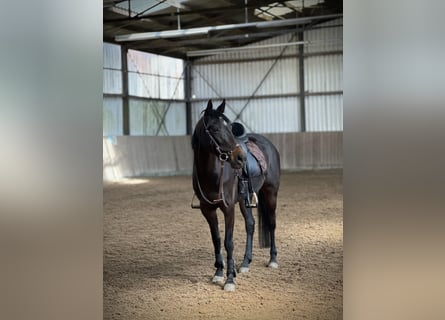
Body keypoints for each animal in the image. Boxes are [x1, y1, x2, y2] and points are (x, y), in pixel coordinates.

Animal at [191, 99, 280, 290]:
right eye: (214, 128)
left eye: (230, 128)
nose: (240, 158)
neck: (213, 174)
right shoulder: (207, 210)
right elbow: (216, 239)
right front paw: (218, 273)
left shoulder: (228, 209)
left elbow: (228, 242)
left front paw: (230, 279)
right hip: (244, 200)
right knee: (250, 224)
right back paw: (246, 263)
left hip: (271, 193)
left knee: (271, 223)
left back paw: (273, 260)